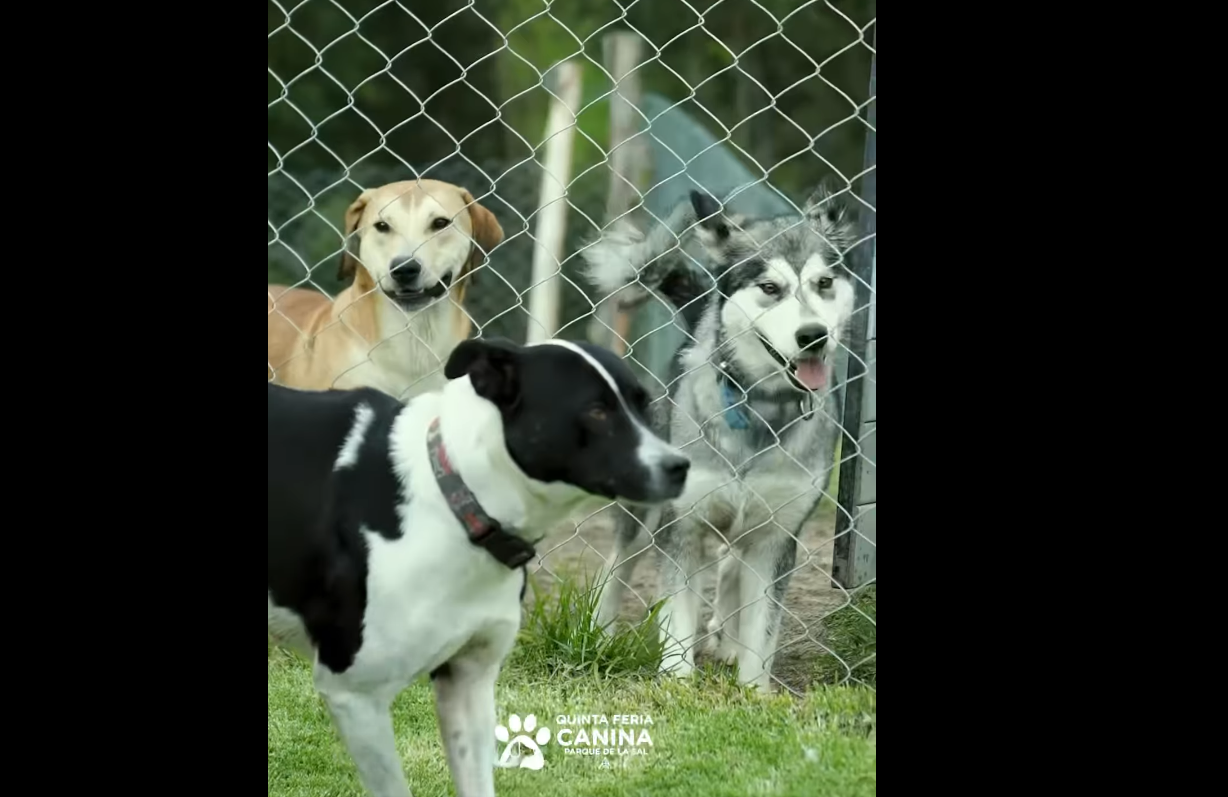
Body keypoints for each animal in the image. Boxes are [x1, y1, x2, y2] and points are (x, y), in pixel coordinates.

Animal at [267, 336, 687, 795]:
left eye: (644, 405)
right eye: (596, 411)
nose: (680, 467)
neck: (456, 497)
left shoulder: (469, 683)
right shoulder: (356, 696)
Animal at [579, 182, 859, 687]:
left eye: (824, 283)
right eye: (770, 288)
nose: (813, 335)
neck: (758, 408)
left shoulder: (775, 538)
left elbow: (763, 629)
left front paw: (754, 690)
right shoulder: (681, 529)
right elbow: (677, 618)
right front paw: (676, 681)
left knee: (731, 569)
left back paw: (726, 639)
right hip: (644, 515)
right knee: (617, 565)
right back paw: (601, 630)